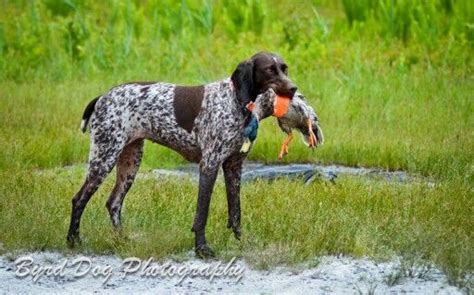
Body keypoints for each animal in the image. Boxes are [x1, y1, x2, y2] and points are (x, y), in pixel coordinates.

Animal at [66, 52, 296, 258]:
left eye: (285, 68)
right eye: (269, 70)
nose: (294, 88)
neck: (234, 102)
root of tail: (102, 97)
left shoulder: (233, 167)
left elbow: (235, 212)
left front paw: (241, 242)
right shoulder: (209, 165)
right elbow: (201, 214)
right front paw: (201, 249)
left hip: (130, 162)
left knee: (113, 203)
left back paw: (122, 240)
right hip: (104, 157)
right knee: (79, 199)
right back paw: (73, 241)